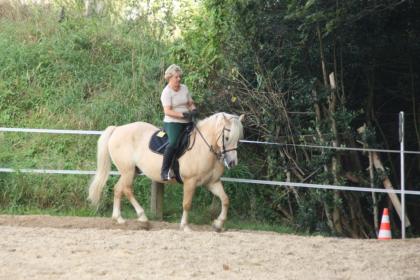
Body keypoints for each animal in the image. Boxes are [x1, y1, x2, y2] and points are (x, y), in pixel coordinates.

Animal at [89, 112, 246, 232]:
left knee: (118, 189)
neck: (203, 147)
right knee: (127, 189)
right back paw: (142, 217)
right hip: (127, 171)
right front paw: (185, 226)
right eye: (227, 138)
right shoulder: (190, 182)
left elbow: (225, 199)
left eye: (239, 139)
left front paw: (218, 224)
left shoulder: (212, 182)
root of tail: (117, 129)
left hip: (131, 171)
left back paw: (119, 218)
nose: (232, 163)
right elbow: (187, 204)